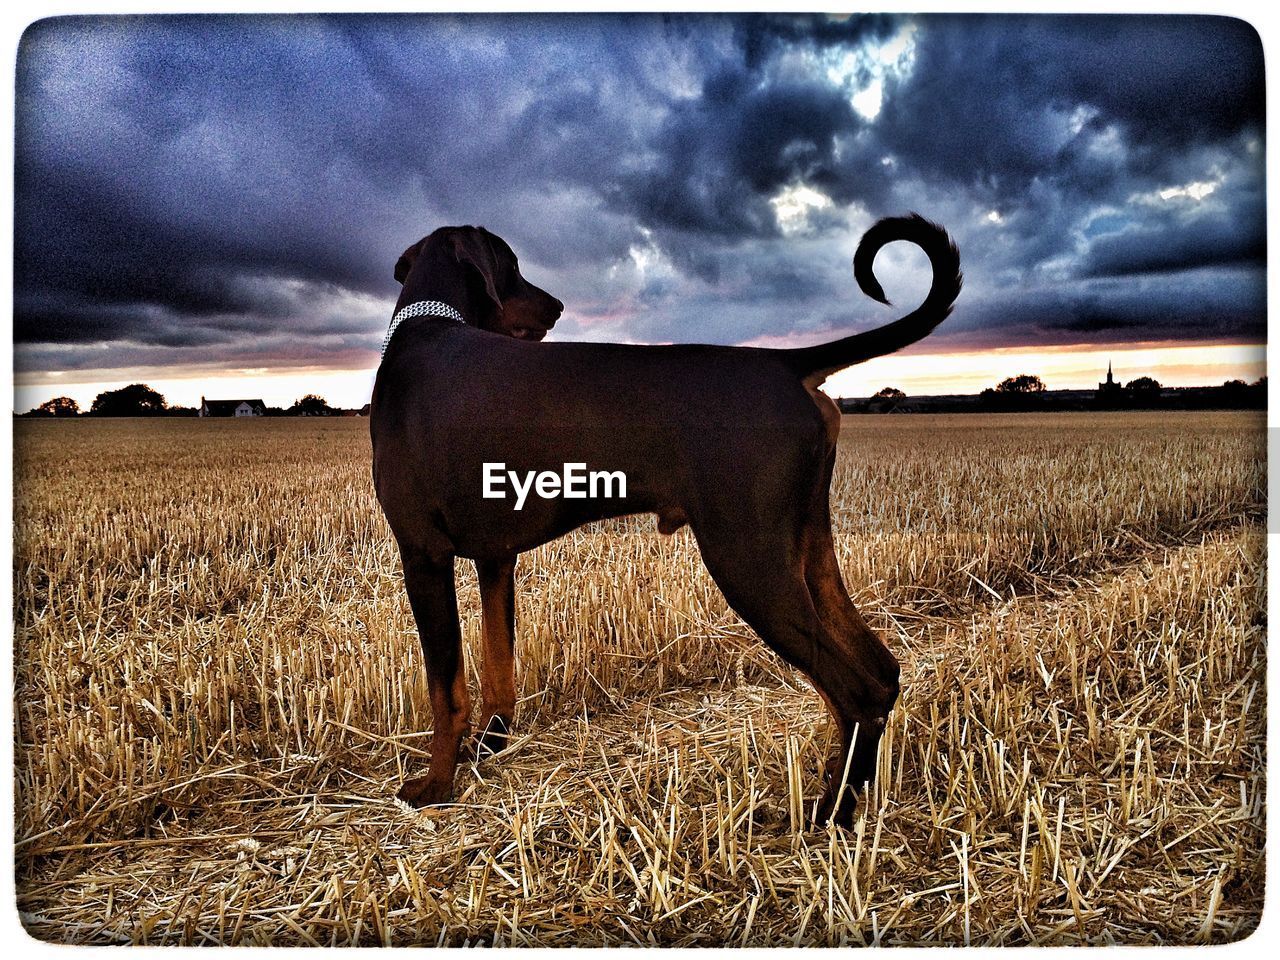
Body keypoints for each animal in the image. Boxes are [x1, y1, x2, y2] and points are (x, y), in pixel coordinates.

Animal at [371, 216, 962, 829]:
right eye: (512, 266)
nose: (557, 306)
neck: (427, 332)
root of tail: (781, 363)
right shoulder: (496, 559)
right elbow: (497, 667)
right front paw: (491, 744)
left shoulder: (422, 553)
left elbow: (445, 690)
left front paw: (436, 786)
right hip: (807, 553)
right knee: (881, 673)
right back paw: (841, 794)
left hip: (748, 560)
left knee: (856, 689)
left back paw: (830, 814)